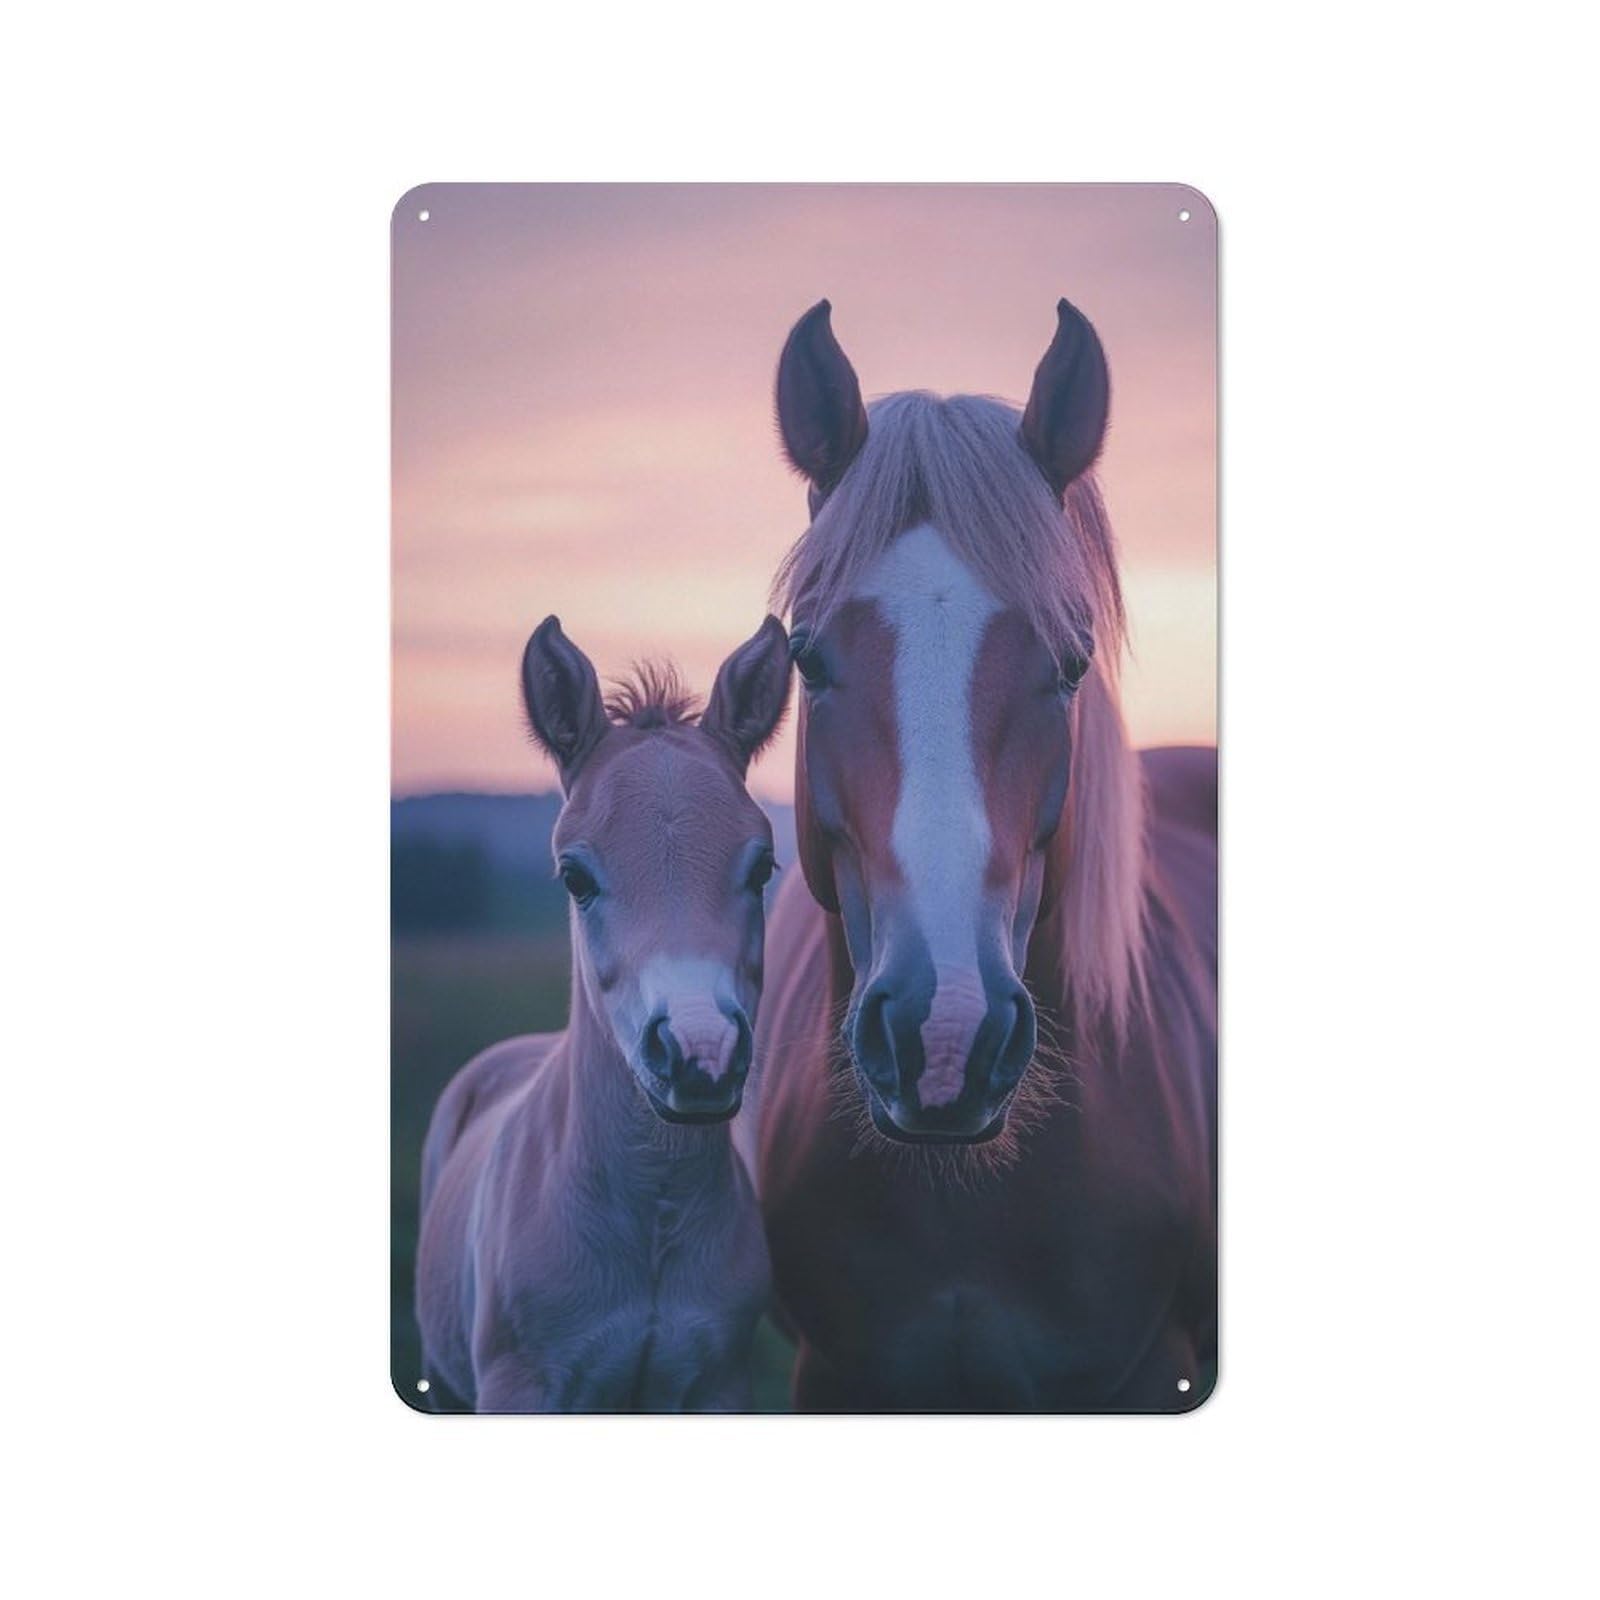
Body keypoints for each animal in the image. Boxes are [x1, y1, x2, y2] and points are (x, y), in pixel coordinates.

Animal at [415, 614, 792, 1412]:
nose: (701, 1056)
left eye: (762, 867)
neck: (652, 1217)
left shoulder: (718, 1383)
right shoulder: (519, 1388)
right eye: (575, 877)